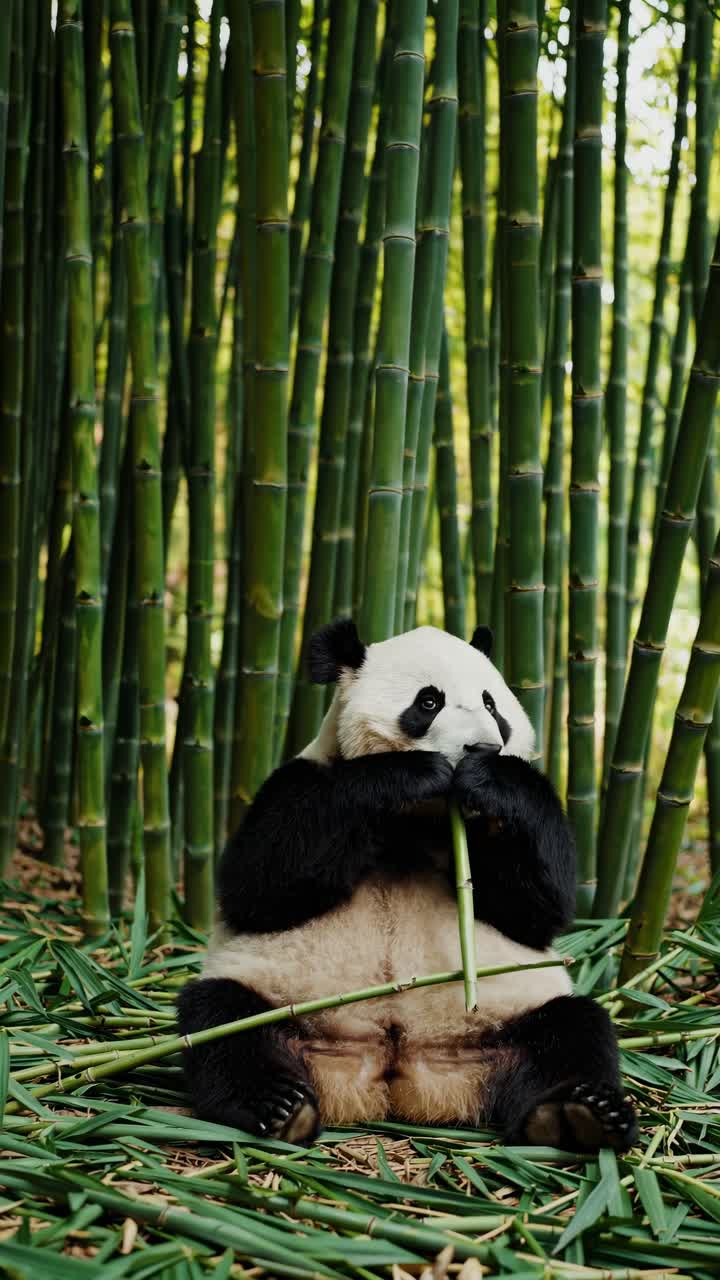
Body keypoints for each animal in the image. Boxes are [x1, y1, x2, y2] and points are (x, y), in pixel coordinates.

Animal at [178, 620, 637, 1152]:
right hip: (280, 1000)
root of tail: (400, 1068)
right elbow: (257, 886)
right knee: (222, 1022)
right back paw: (278, 1106)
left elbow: (540, 908)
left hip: (511, 1013)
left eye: (491, 705)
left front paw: (492, 778)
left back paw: (578, 1113)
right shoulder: (303, 776)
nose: (483, 748)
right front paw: (414, 773)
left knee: (575, 1028)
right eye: (429, 702)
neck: (420, 820)